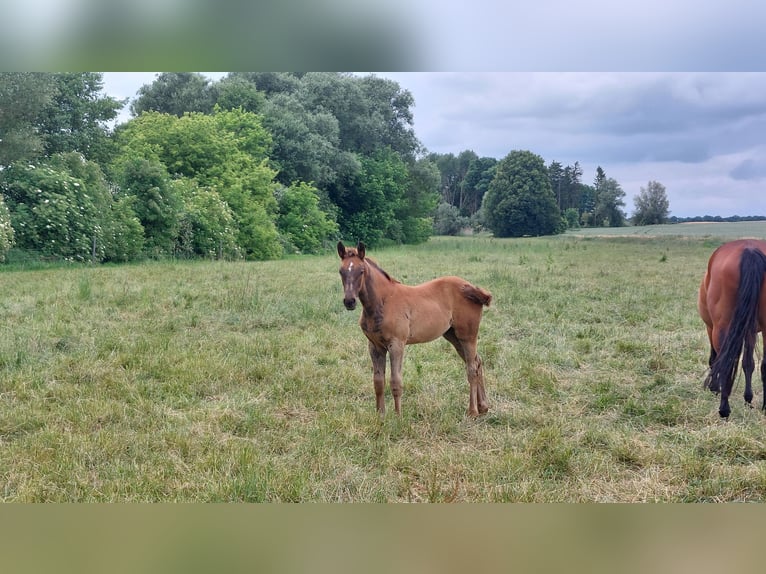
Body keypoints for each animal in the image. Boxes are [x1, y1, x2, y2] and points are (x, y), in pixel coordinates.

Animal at [340, 241, 496, 416]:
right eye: (341, 271)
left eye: (361, 271)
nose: (349, 301)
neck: (383, 301)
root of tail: (470, 287)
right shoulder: (374, 346)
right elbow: (378, 382)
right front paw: (380, 415)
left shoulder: (397, 344)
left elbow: (395, 382)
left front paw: (398, 416)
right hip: (453, 336)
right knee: (477, 362)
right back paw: (483, 407)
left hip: (468, 335)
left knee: (472, 368)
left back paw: (473, 411)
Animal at [700, 238, 766, 418]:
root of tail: (750, 249)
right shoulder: (750, 331)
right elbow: (748, 363)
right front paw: (748, 400)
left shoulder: (710, 328)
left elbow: (715, 359)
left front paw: (714, 388)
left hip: (720, 327)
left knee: (726, 363)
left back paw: (724, 410)